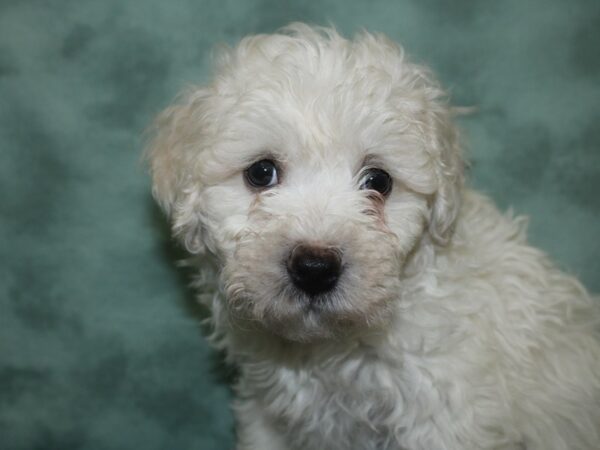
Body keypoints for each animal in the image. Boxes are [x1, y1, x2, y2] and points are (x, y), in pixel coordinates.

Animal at [145, 23, 600, 450]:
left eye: (378, 181)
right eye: (261, 172)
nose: (315, 268)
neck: (330, 348)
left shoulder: (444, 415)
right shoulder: (268, 417)